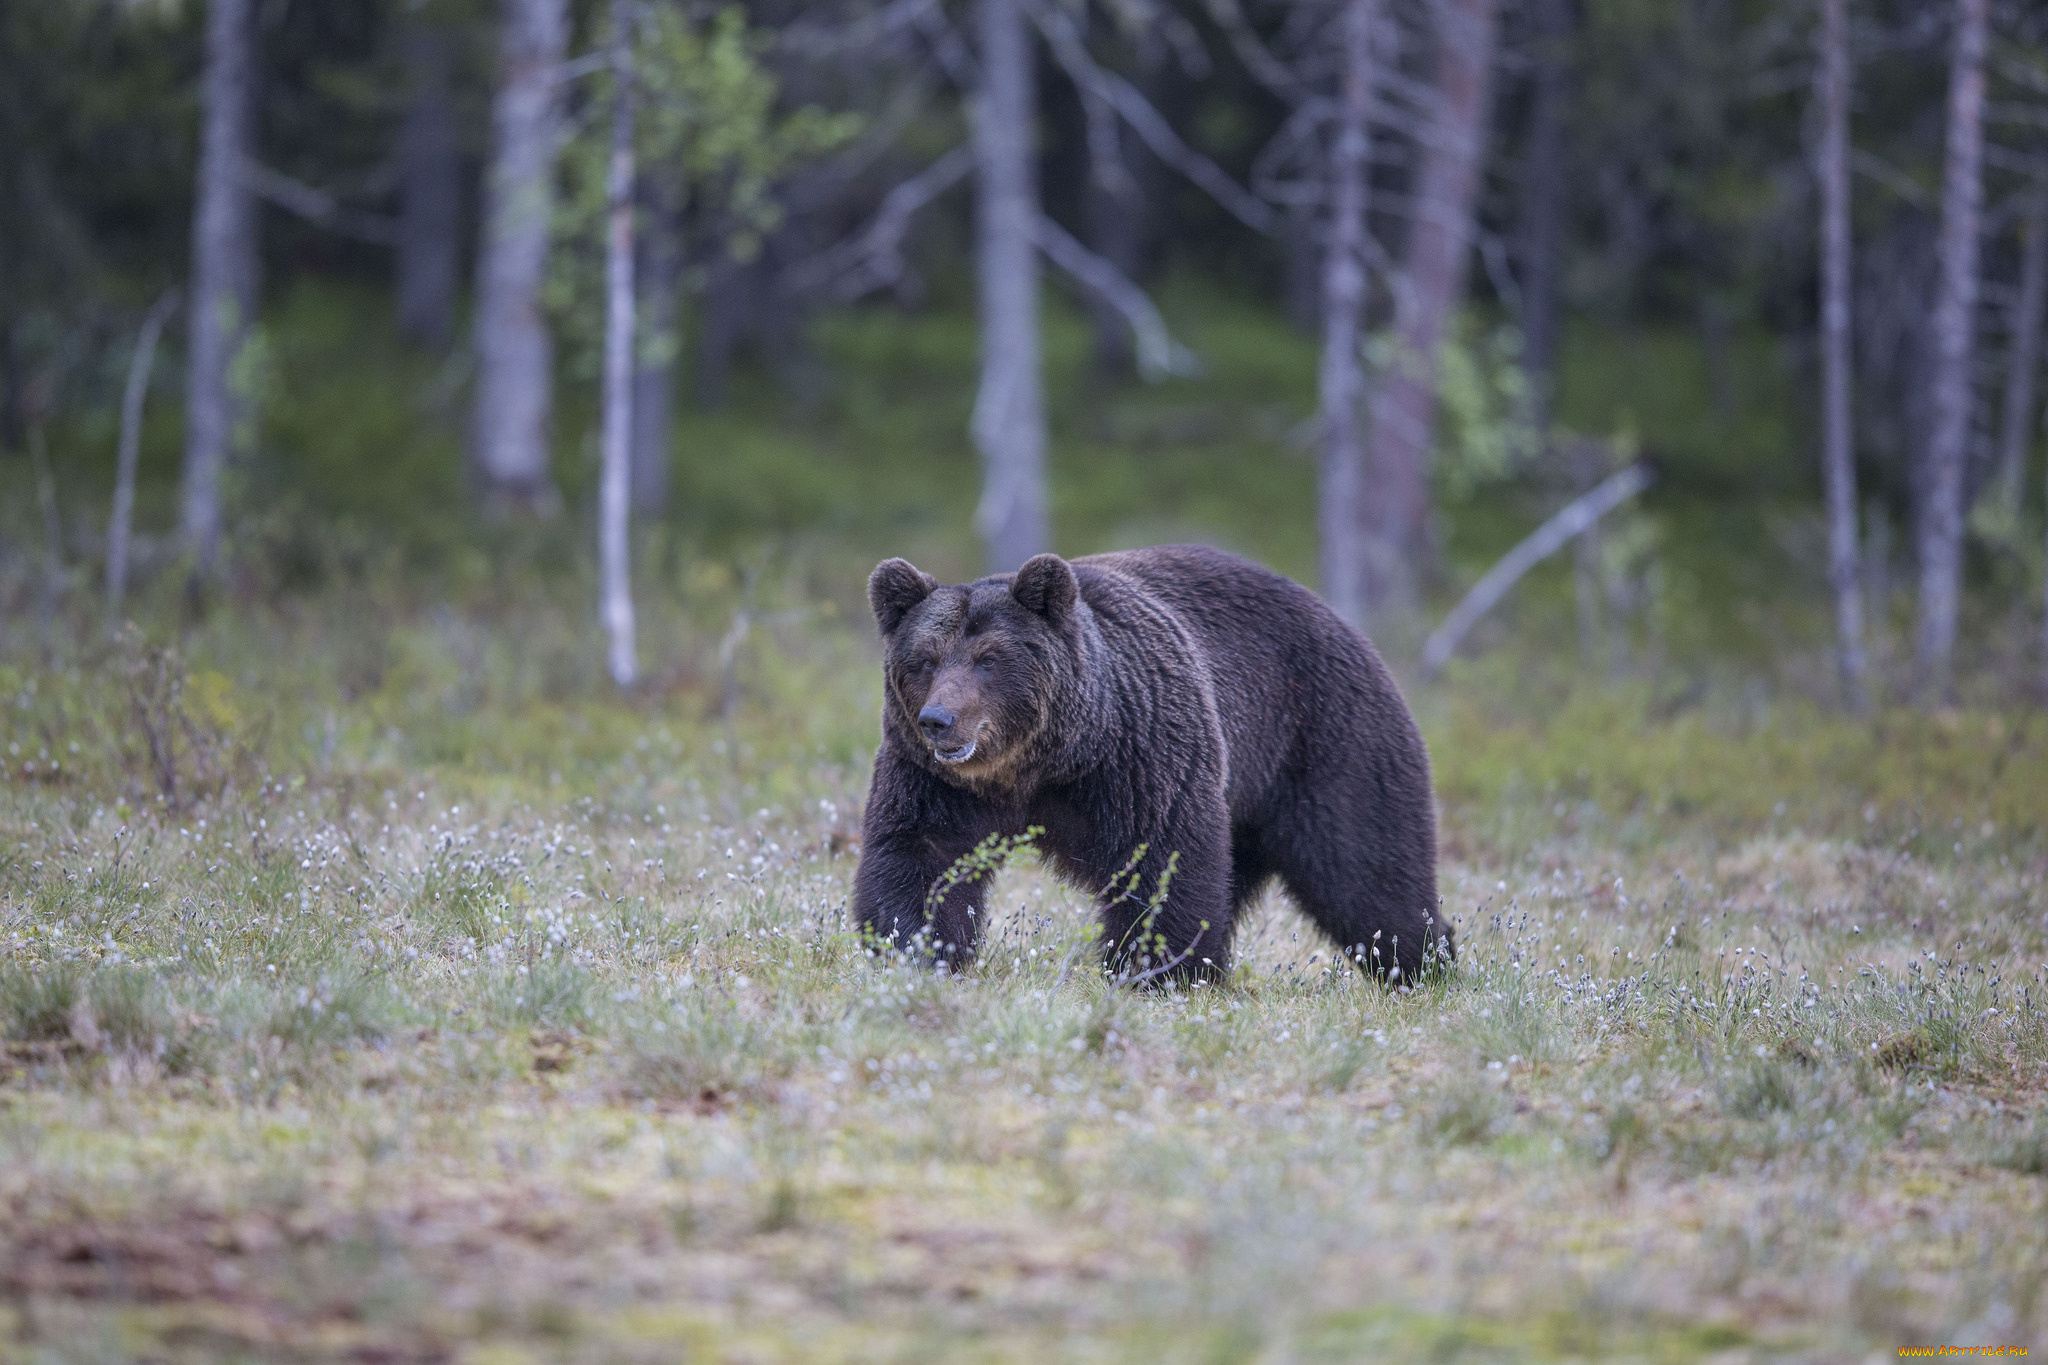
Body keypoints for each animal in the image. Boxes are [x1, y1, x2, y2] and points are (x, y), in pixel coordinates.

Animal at [847, 544, 1441, 982]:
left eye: (988, 659)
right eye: (924, 660)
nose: (939, 719)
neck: (1039, 765)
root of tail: (1341, 621)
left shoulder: (1139, 752)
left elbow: (1163, 857)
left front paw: (1156, 969)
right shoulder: (933, 780)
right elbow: (921, 855)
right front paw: (915, 948)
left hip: (1323, 739)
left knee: (1366, 865)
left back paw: (1419, 964)